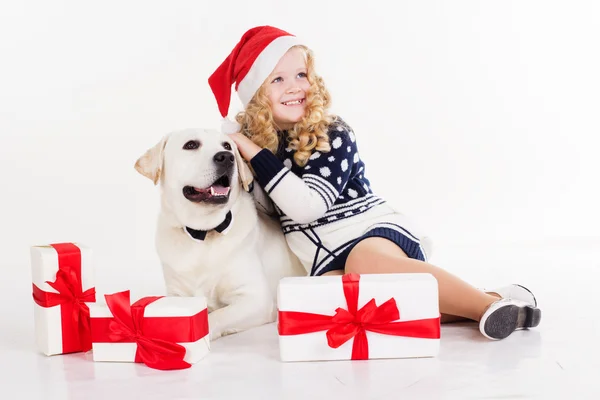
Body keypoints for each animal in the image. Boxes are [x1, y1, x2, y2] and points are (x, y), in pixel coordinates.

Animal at [135, 128, 304, 340]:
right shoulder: (177, 294)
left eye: (227, 146)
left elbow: (216, 316)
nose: (226, 157)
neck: (204, 233)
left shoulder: (257, 299)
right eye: (191, 145)